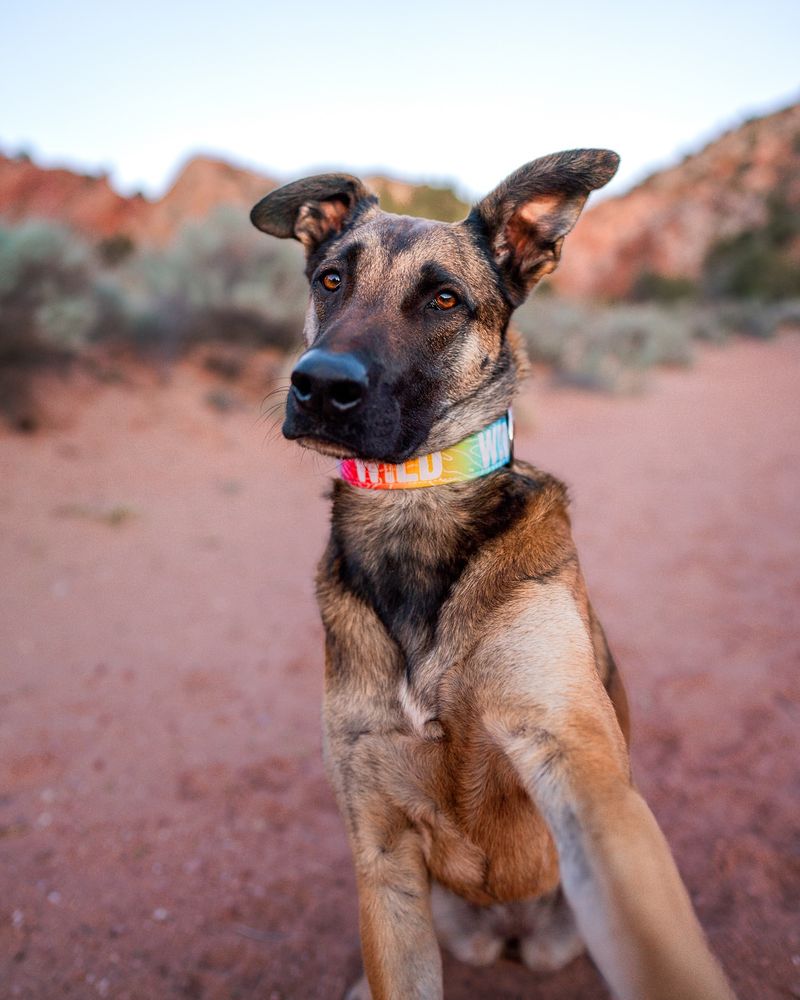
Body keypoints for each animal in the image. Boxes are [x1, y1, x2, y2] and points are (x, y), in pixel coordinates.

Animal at [253, 150, 736, 1000]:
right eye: (331, 279)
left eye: (444, 298)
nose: (318, 384)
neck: (417, 505)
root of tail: (510, 937)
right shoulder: (379, 846)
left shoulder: (578, 769)